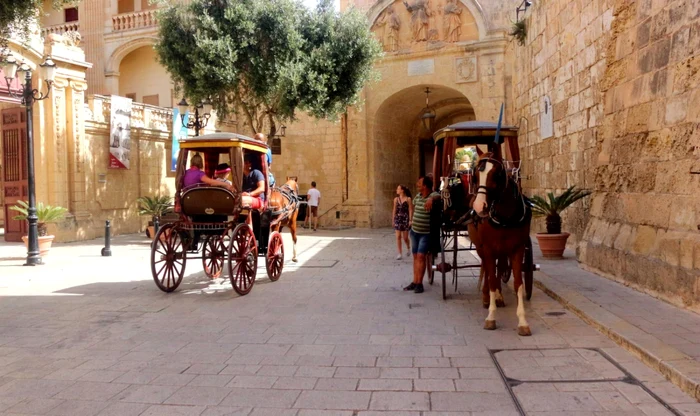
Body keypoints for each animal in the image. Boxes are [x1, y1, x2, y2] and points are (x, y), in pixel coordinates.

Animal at [468, 151, 532, 336]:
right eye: (475, 175)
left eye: (497, 174)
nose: (479, 206)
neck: (505, 216)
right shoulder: (488, 248)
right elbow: (490, 278)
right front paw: (491, 316)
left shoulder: (517, 249)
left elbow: (518, 283)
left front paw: (522, 321)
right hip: (481, 247)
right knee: (487, 268)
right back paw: (486, 297)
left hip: (502, 250)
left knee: (498, 267)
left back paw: (498, 296)